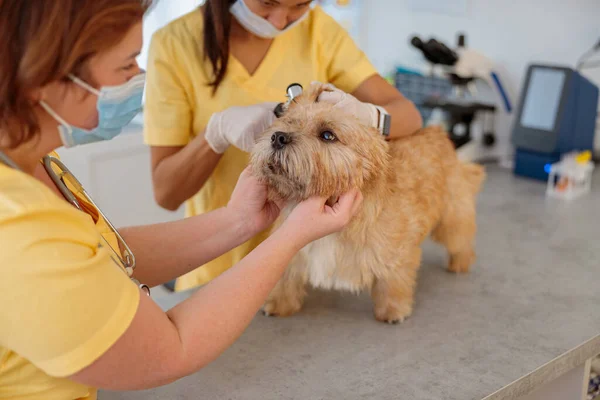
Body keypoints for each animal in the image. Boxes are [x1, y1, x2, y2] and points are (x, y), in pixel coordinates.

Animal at [251, 83, 486, 322]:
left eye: (327, 135)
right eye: (289, 122)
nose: (278, 137)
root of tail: (438, 132)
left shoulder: (396, 251)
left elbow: (393, 280)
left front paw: (393, 310)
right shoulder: (291, 248)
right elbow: (285, 278)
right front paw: (280, 304)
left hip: (452, 217)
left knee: (462, 239)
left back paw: (460, 262)